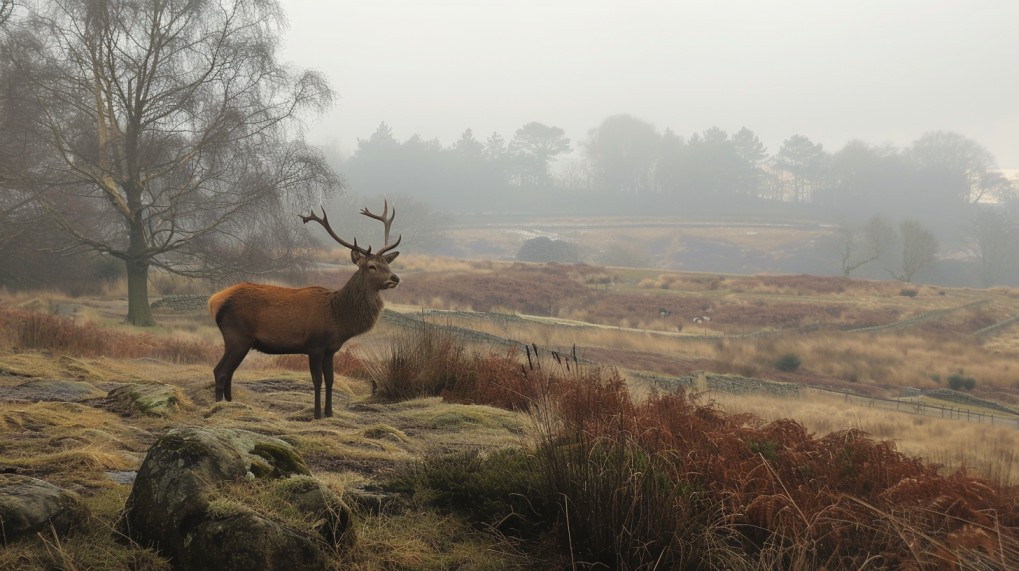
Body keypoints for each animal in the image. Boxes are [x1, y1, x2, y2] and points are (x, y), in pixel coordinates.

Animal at [207, 200, 401, 420]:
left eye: (387, 263)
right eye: (371, 266)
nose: (395, 278)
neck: (337, 318)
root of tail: (214, 301)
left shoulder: (331, 349)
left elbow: (331, 379)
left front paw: (329, 413)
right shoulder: (314, 343)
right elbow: (317, 380)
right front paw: (316, 414)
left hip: (241, 341)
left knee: (230, 372)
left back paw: (232, 405)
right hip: (237, 336)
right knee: (220, 371)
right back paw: (218, 408)